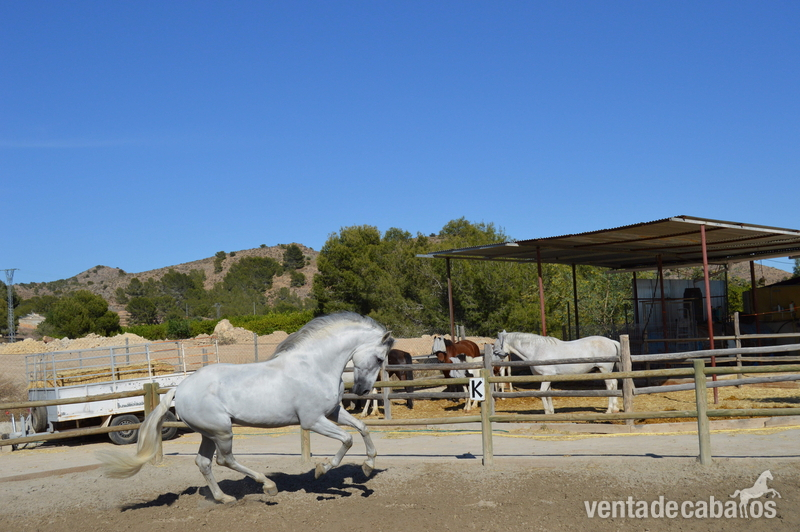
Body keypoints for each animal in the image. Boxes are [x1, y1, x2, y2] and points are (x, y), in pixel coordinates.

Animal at [96, 312, 394, 504]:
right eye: (380, 357)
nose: (363, 391)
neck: (315, 365)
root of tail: (180, 388)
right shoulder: (312, 421)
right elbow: (347, 439)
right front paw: (323, 469)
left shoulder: (332, 413)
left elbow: (363, 428)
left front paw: (368, 467)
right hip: (222, 431)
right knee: (224, 460)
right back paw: (268, 486)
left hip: (208, 433)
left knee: (204, 462)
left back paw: (224, 498)